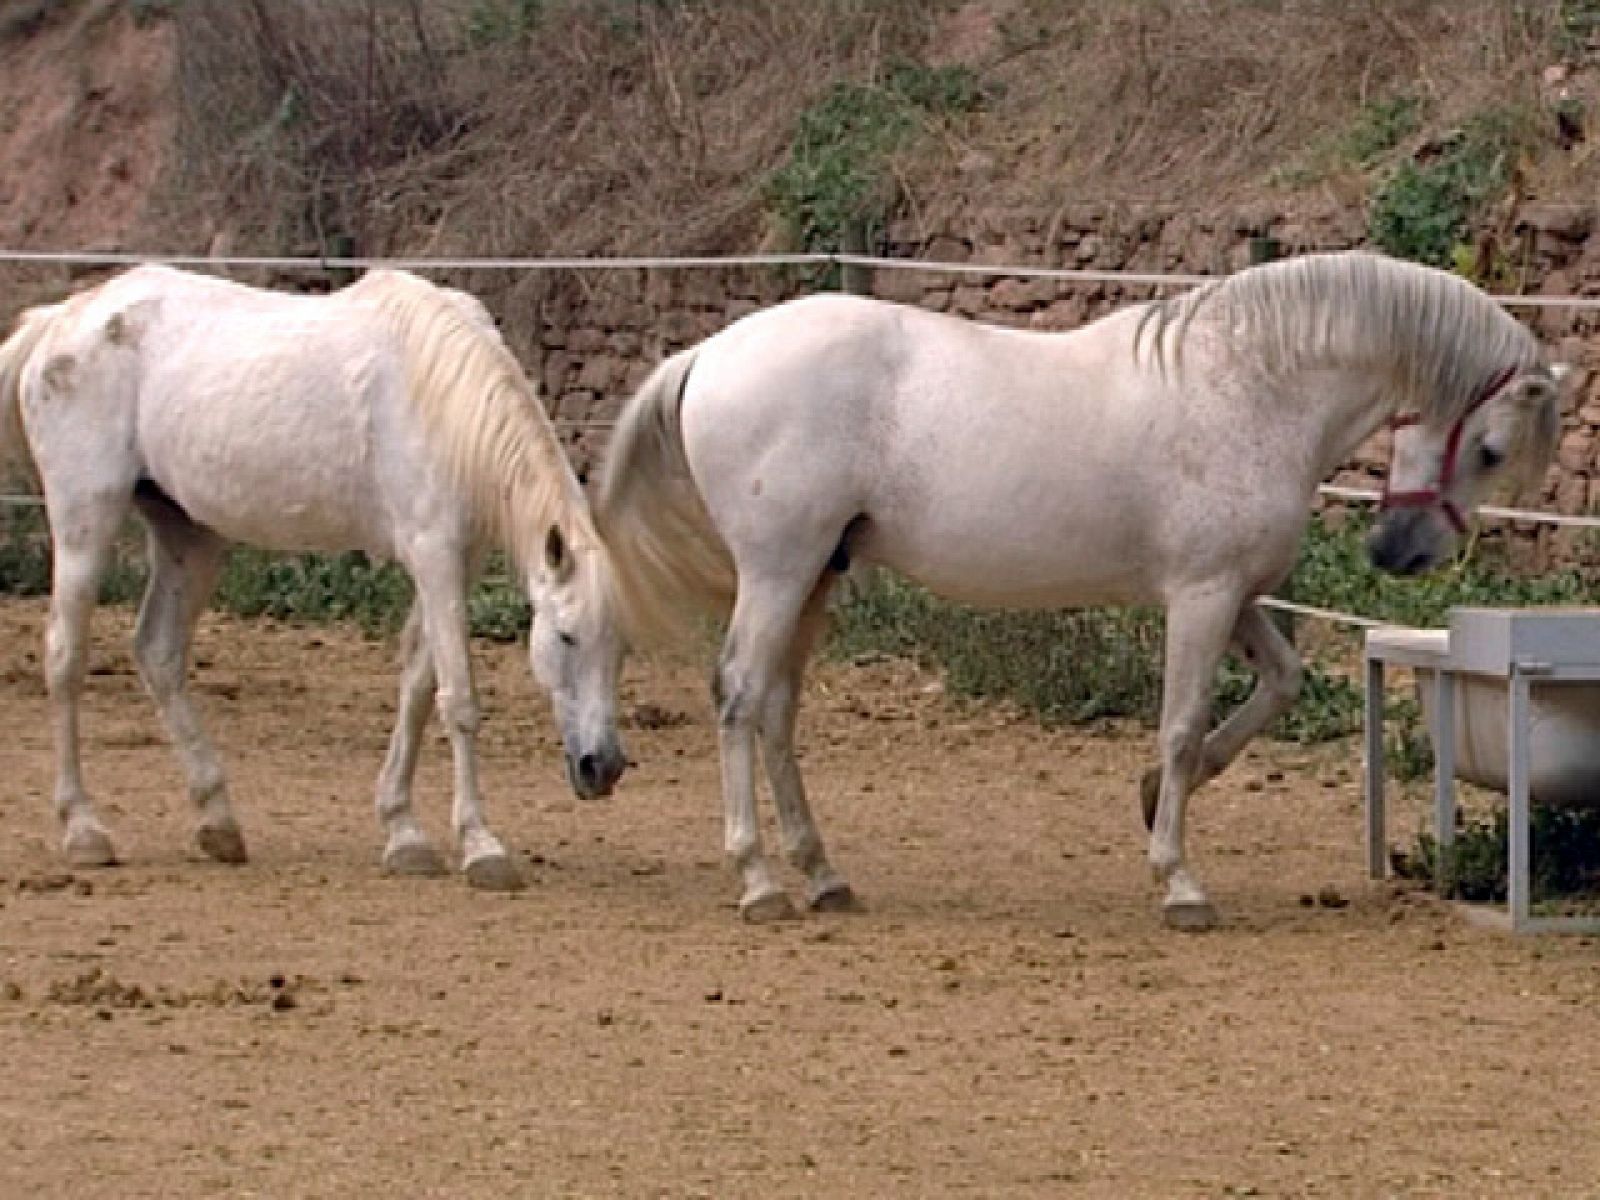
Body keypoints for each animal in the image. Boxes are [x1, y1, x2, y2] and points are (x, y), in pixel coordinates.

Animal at [0, 267, 624, 889]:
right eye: (565, 637)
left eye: (621, 648)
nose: (603, 767)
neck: (440, 400)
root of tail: (57, 321)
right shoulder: (435, 555)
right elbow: (458, 700)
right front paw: (480, 845)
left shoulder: (454, 565)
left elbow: (418, 687)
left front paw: (403, 831)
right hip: (85, 524)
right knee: (65, 657)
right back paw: (84, 829)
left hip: (190, 538)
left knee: (158, 652)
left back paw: (218, 821)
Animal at [598, 251, 1561, 928]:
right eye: (1489, 450)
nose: (1402, 553)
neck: (1251, 385)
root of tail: (709, 353)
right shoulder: (1202, 597)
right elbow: (1180, 725)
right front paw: (1179, 882)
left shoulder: (1237, 596)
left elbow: (1278, 685)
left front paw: (1155, 798)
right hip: (778, 570)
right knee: (739, 695)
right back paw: (759, 880)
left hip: (814, 579)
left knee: (777, 709)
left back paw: (823, 874)